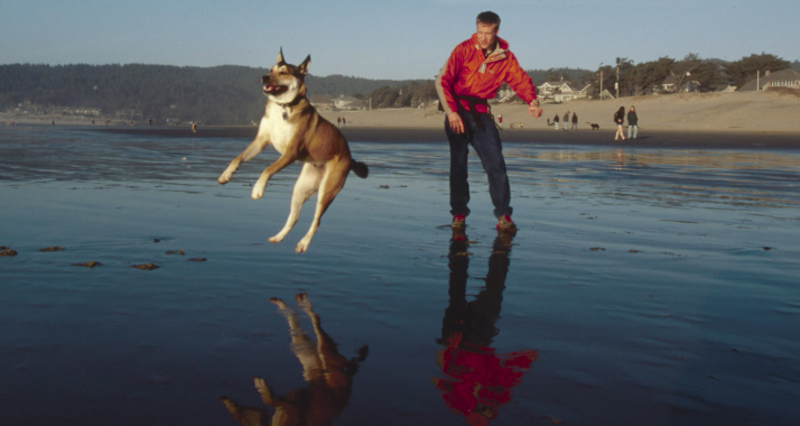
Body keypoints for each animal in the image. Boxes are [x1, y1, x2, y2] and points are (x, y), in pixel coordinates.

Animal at [217, 49, 368, 253]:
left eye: (283, 73)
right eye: (270, 70)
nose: (263, 77)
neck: (283, 107)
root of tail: (350, 158)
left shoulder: (291, 152)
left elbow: (267, 170)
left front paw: (257, 190)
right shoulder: (260, 141)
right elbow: (237, 158)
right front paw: (225, 176)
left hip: (327, 190)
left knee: (316, 221)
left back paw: (303, 244)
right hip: (301, 188)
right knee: (294, 217)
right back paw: (278, 238)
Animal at [220, 293, 368, 426]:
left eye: (239, 416)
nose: (225, 400)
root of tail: (350, 373)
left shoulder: (290, 405)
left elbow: (269, 400)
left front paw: (261, 386)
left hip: (324, 353)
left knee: (315, 319)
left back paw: (302, 302)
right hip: (308, 357)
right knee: (299, 320)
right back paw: (294, 301)